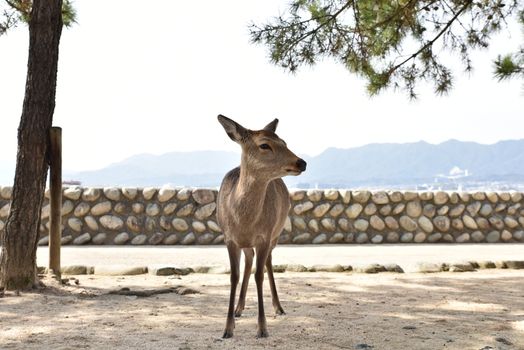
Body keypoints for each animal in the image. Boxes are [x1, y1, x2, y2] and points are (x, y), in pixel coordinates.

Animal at [216, 113, 308, 338]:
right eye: (264, 145)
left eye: (284, 142)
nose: (302, 163)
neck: (244, 221)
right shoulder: (229, 239)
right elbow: (234, 276)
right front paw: (227, 328)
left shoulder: (264, 237)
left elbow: (259, 275)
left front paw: (262, 328)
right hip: (248, 243)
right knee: (249, 262)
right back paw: (239, 308)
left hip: (276, 233)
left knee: (267, 263)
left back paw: (278, 307)